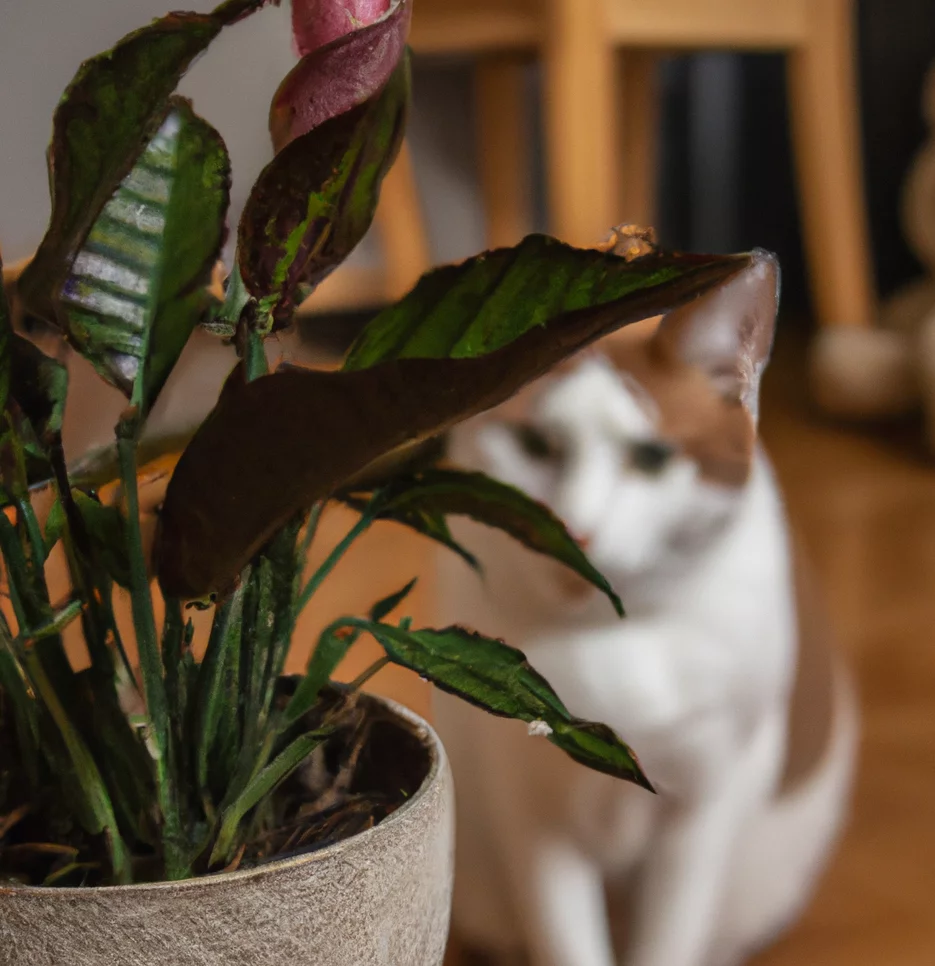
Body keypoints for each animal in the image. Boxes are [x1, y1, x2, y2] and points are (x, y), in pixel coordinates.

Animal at [432, 253, 856, 966]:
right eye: (536, 445)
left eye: (652, 457)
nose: (575, 530)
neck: (614, 636)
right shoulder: (531, 816)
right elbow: (566, 940)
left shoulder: (702, 810)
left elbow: (671, 936)